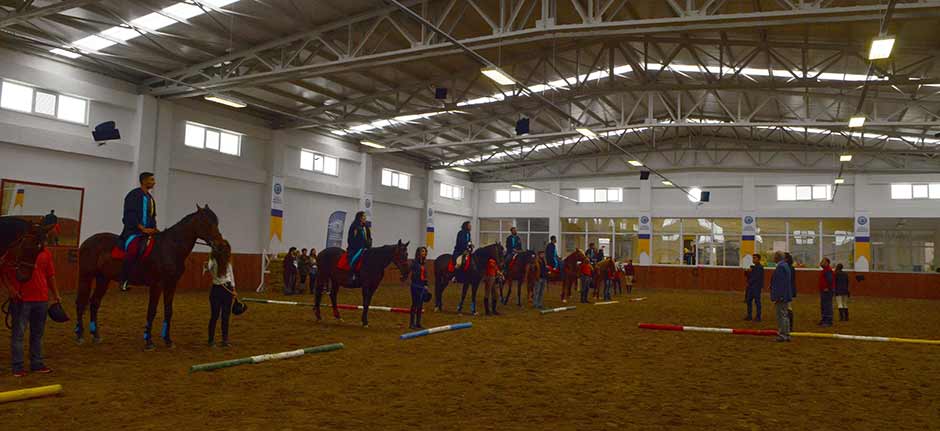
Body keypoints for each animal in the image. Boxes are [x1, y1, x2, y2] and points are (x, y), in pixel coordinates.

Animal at [75, 206, 224, 352]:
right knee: (81, 303)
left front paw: (168, 340)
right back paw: (80, 335)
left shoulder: (171, 284)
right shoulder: (157, 284)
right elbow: (152, 311)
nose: (220, 245)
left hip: (103, 279)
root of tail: (87, 242)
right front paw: (149, 341)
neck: (171, 247)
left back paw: (96, 335)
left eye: (216, 223)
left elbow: (168, 311)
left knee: (94, 303)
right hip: (85, 276)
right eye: (206, 223)